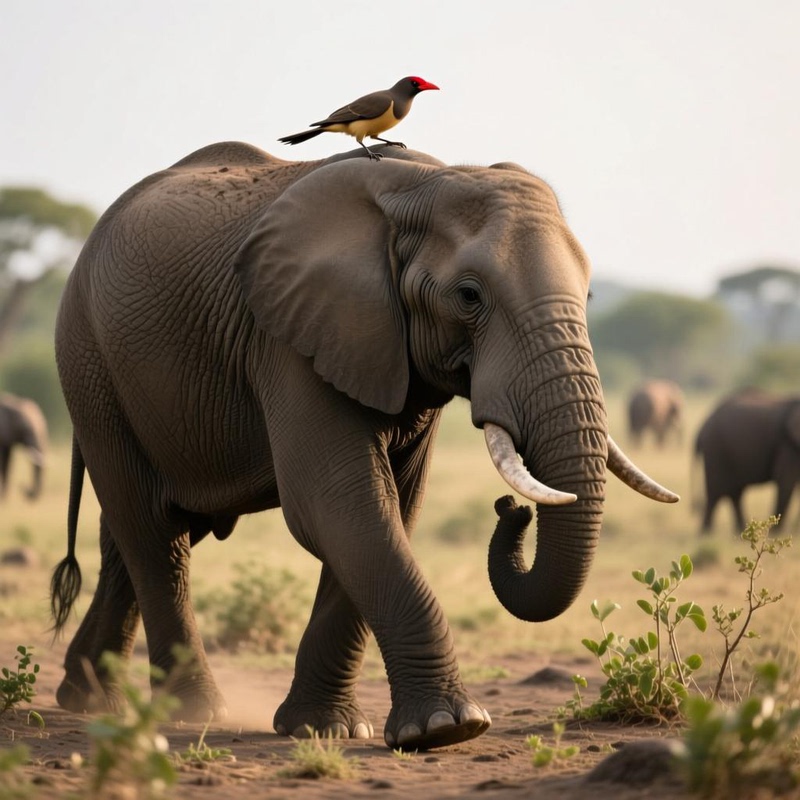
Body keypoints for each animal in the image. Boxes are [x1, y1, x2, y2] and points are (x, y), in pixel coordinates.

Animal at [49, 141, 678, 751]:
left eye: (590, 295)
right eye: (469, 296)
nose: (511, 508)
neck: (426, 180)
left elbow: (390, 506)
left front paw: (325, 729)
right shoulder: (290, 339)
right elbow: (339, 503)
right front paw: (448, 728)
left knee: (140, 535)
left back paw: (86, 698)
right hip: (89, 363)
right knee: (153, 530)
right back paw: (191, 712)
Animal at [694, 388, 800, 534]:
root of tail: (702, 428)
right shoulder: (787, 443)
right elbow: (786, 482)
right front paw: (776, 533)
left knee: (735, 494)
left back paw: (740, 531)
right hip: (715, 451)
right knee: (715, 494)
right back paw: (705, 534)